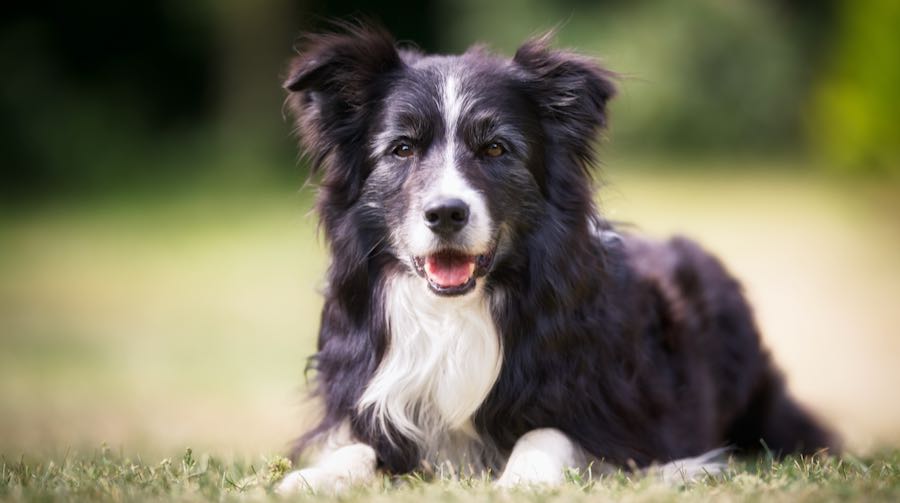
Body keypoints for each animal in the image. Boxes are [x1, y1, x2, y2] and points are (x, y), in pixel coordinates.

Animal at [276, 23, 836, 492]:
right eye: (402, 149)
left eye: (496, 149)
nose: (446, 213)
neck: (456, 311)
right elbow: (360, 443)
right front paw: (314, 478)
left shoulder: (621, 413)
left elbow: (548, 432)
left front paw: (521, 480)